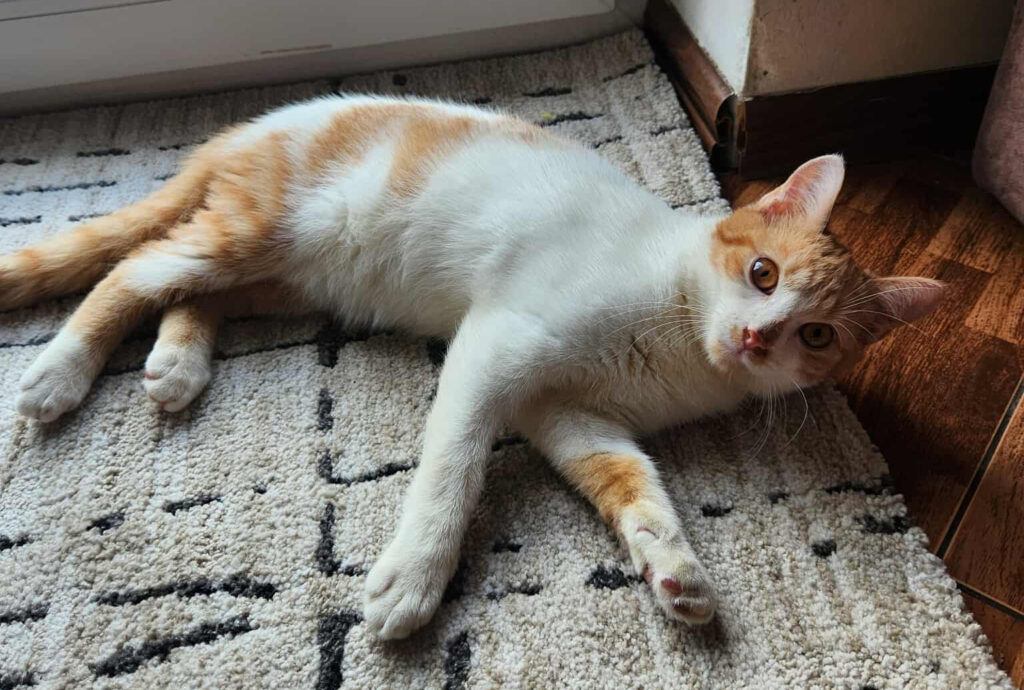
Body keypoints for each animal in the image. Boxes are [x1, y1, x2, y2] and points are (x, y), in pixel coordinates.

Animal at [0, 94, 944, 639]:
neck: (679, 340)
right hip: (265, 232)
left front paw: (673, 568)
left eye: (815, 336)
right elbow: (451, 467)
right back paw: (59, 373)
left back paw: (176, 362)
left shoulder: (572, 416)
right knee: (137, 268)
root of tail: (256, 126)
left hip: (287, 276)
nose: (756, 340)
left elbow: (633, 482)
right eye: (763, 274)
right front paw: (418, 575)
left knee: (191, 289)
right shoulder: (496, 348)